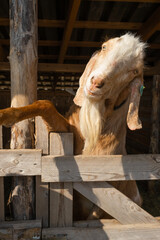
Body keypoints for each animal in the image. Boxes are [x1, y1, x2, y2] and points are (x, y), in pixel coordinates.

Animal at [0, 32, 146, 220]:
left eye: (134, 71)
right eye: (104, 47)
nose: (96, 83)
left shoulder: (101, 201)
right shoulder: (70, 132)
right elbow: (45, 104)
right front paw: (4, 115)